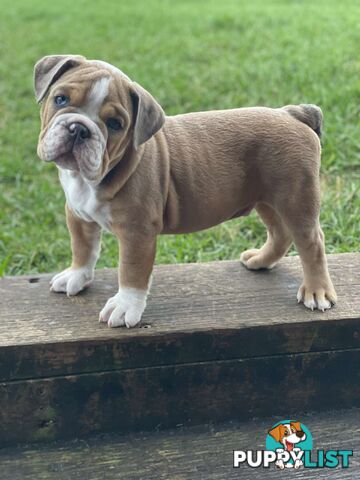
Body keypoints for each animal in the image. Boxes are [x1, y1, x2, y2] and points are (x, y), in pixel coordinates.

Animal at [33, 54, 338, 328]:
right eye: (60, 99)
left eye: (115, 124)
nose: (78, 128)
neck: (89, 179)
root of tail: (292, 113)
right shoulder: (78, 216)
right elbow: (82, 249)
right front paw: (76, 276)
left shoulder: (137, 232)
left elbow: (131, 271)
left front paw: (125, 306)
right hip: (267, 199)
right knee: (280, 233)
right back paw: (260, 260)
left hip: (296, 198)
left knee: (311, 242)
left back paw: (317, 291)